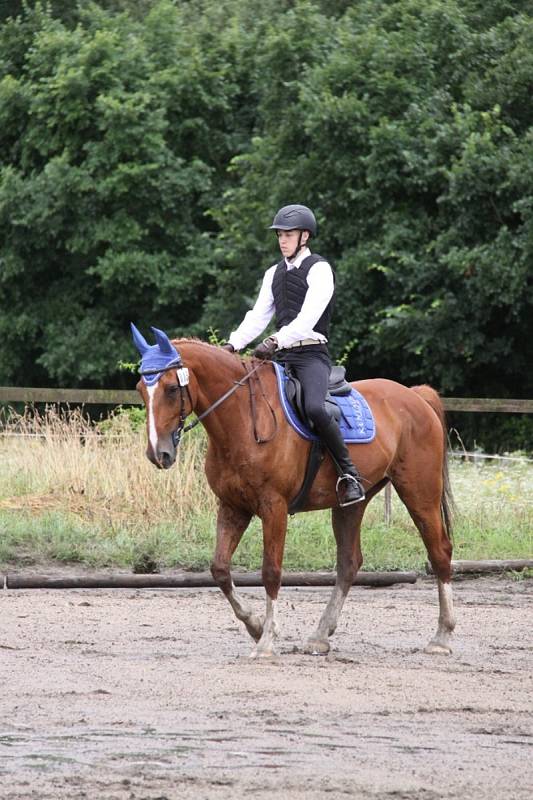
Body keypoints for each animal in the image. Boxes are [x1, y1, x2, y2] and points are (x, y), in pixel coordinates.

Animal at [132, 322, 454, 660]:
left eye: (171, 389)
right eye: (141, 389)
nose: (158, 454)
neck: (242, 419)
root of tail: (415, 396)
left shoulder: (274, 507)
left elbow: (271, 571)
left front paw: (266, 641)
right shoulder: (233, 506)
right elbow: (219, 569)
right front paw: (255, 626)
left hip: (420, 493)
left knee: (440, 552)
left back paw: (441, 637)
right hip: (352, 503)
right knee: (349, 562)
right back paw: (320, 636)